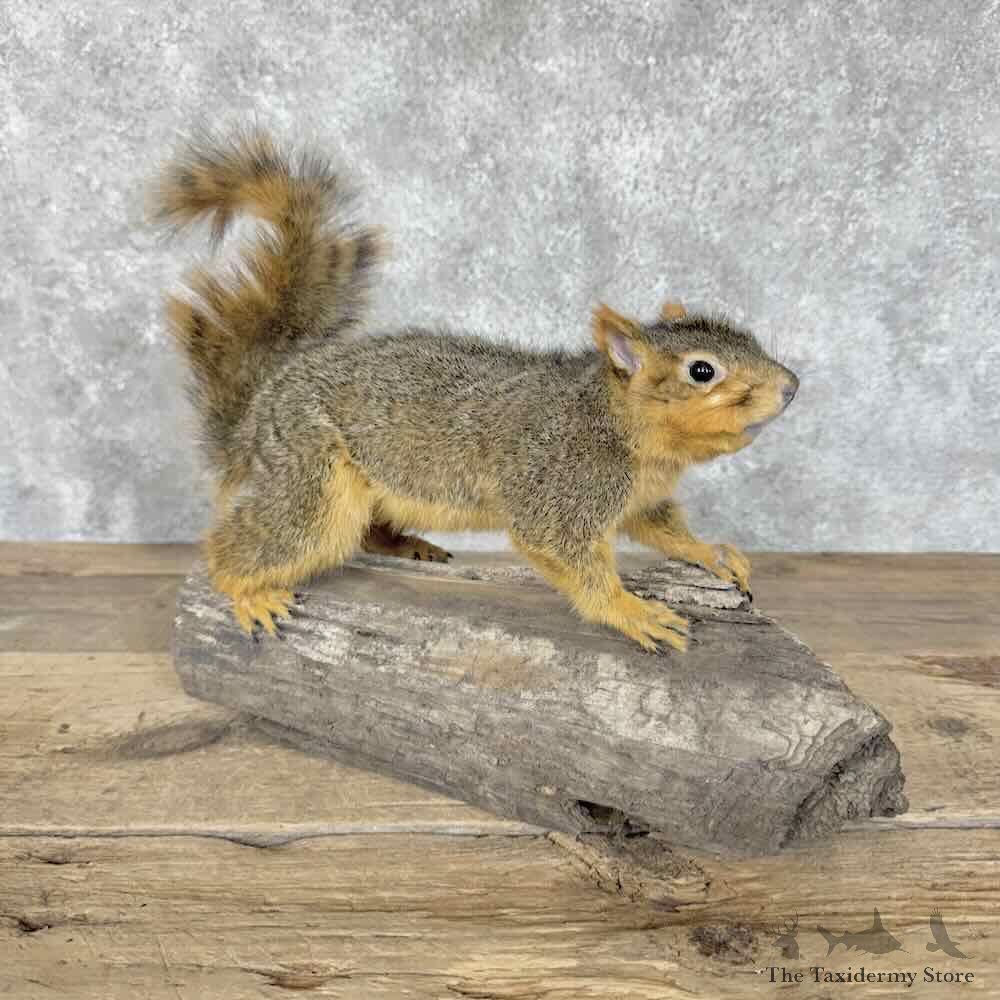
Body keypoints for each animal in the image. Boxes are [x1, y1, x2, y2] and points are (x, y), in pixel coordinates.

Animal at [151, 127, 799, 653]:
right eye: (701, 371)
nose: (792, 387)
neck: (623, 427)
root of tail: (263, 402)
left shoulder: (643, 498)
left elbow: (664, 530)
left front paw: (711, 552)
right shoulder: (562, 486)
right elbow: (564, 552)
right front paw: (630, 612)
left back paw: (408, 547)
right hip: (313, 477)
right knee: (258, 540)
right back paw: (245, 589)